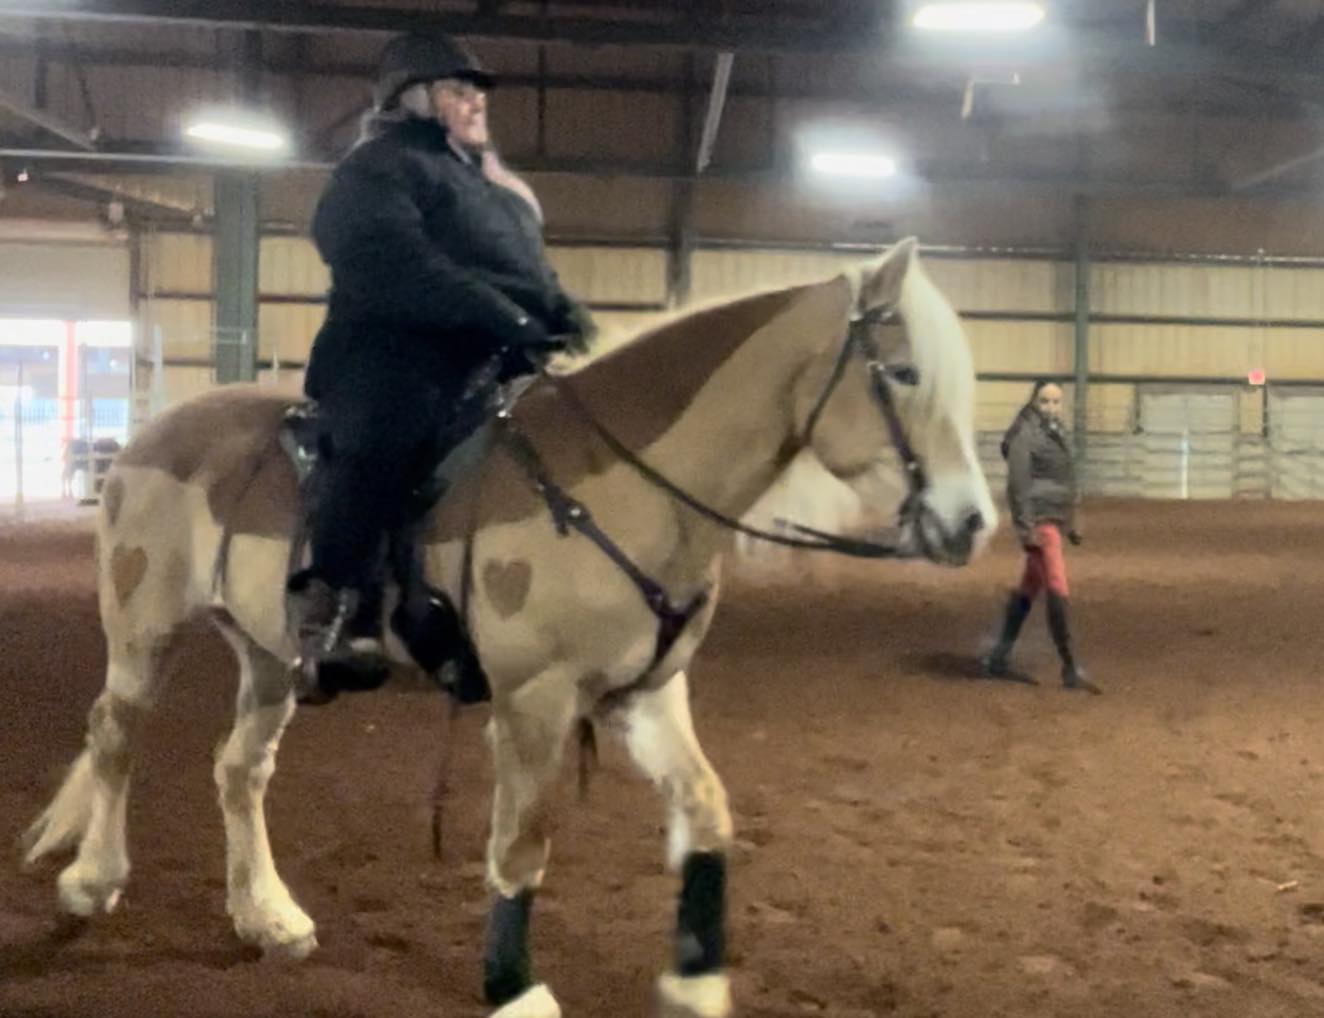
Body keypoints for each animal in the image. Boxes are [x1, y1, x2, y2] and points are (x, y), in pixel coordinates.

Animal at [23, 234, 995, 1011]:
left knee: (239, 770)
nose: (973, 523)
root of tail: (152, 439)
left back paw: (268, 915)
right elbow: (521, 848)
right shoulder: (535, 701)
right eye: (905, 373)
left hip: (269, 656)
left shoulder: (647, 695)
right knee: (115, 737)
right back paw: (93, 882)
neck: (616, 487)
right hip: (143, 629)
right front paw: (514, 987)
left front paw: (695, 980)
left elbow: (707, 815)